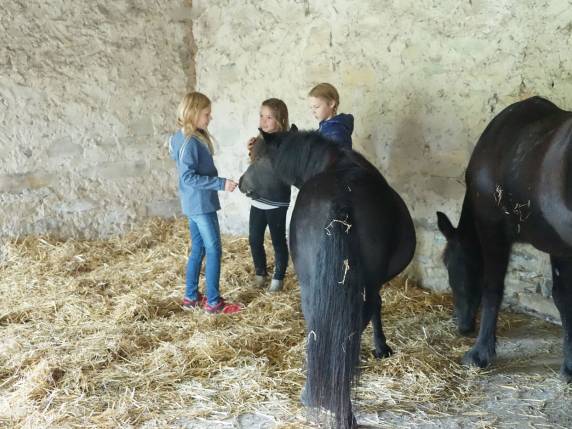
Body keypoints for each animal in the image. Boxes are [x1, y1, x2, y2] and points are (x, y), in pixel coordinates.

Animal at [436, 96, 572, 378]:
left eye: (449, 264)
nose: (463, 326)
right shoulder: (559, 248)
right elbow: (564, 298)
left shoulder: (492, 231)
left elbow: (492, 288)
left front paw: (480, 352)